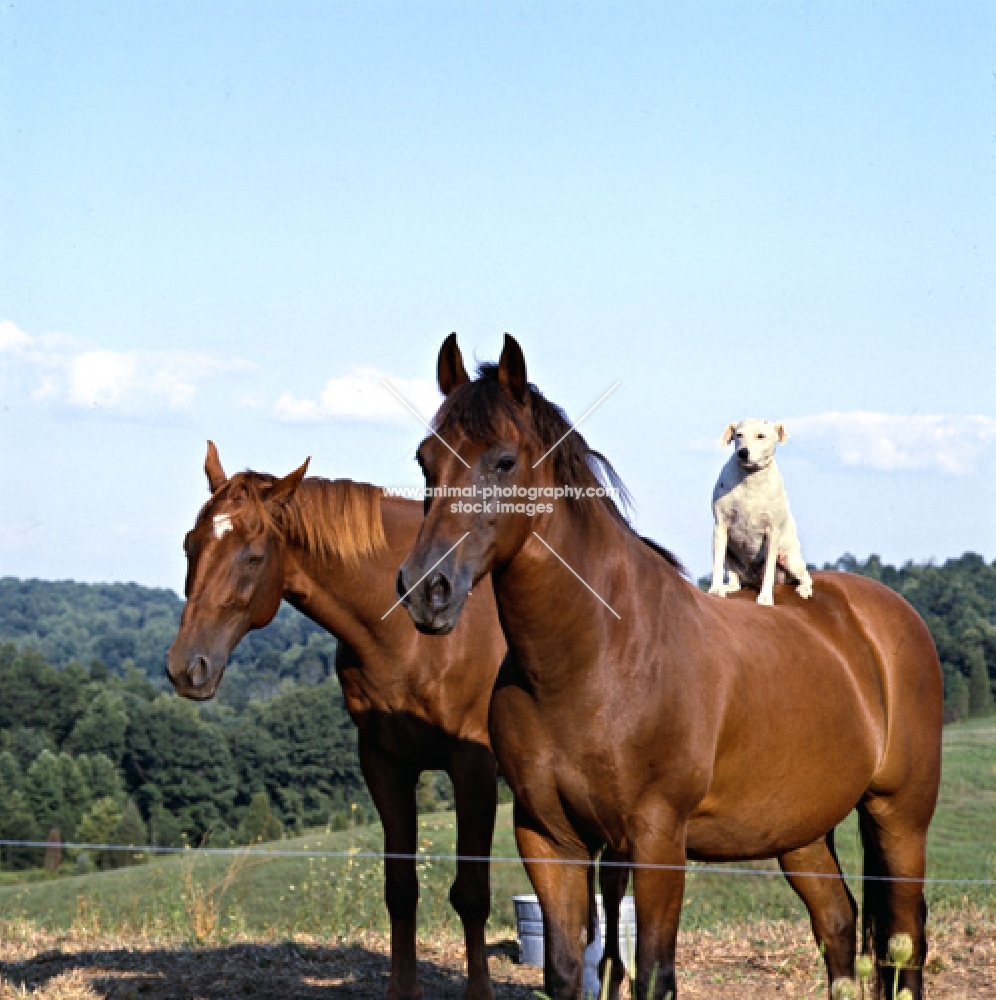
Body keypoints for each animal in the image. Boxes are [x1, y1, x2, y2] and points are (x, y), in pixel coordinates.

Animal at [168, 446, 510, 1000]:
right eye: (190, 546)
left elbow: (472, 894)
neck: (416, 635)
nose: (187, 667)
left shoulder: (473, 767)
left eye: (253, 556)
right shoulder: (384, 763)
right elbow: (401, 888)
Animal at [704, 418, 812, 604]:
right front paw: (716, 589)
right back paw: (729, 586)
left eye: (761, 436)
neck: (751, 478)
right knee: (735, 578)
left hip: (791, 559)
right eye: (738, 435)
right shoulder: (720, 526)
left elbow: (769, 568)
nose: (742, 452)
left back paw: (804, 589)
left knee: (806, 576)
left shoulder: (772, 533)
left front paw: (765, 597)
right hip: (729, 552)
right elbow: (717, 563)